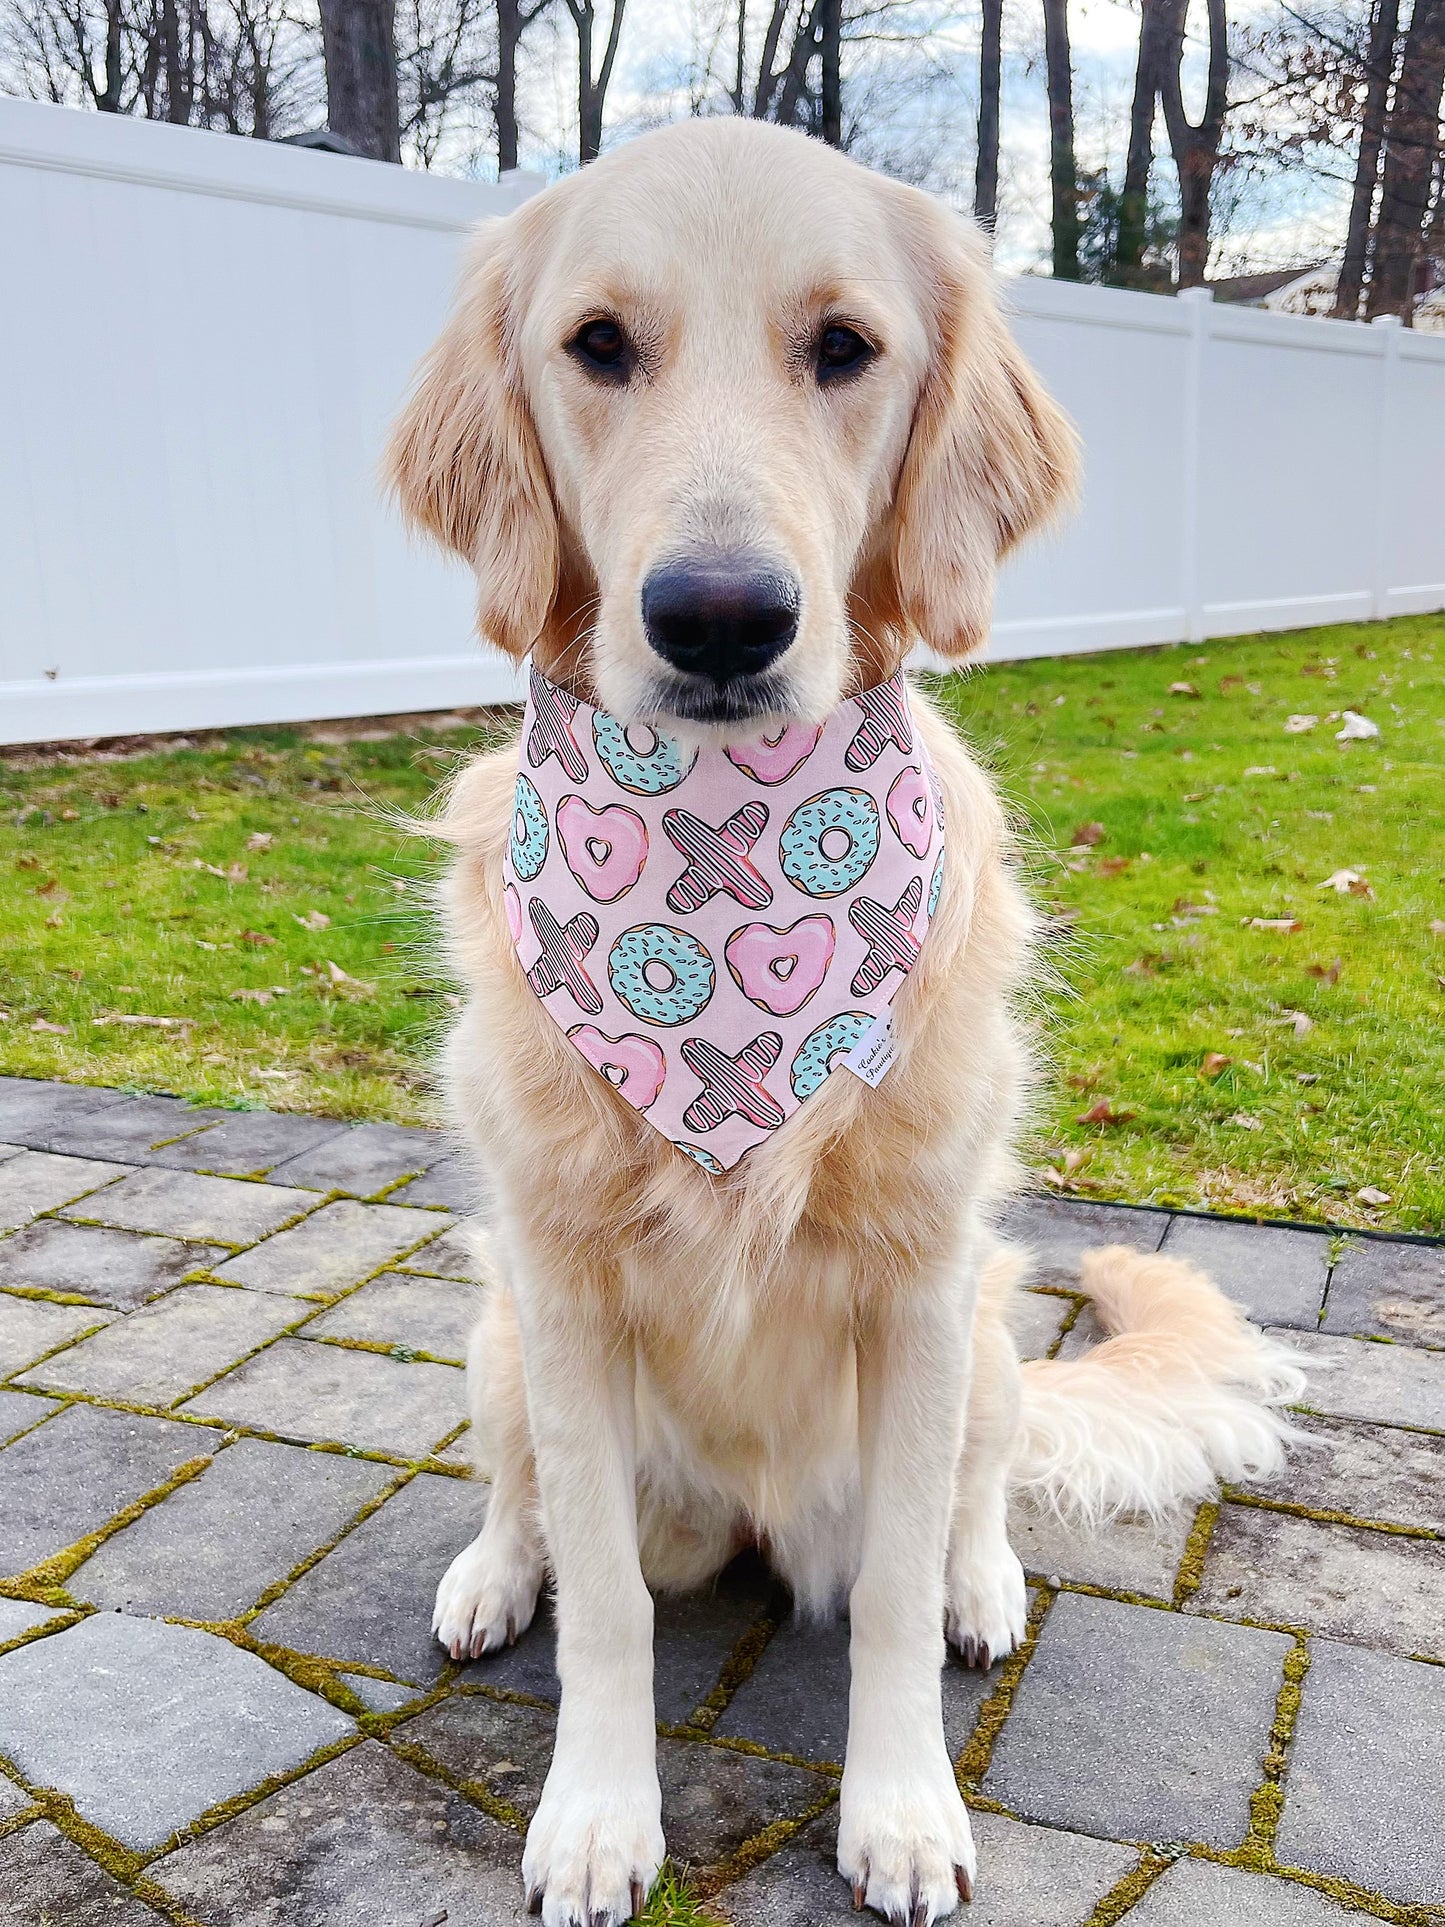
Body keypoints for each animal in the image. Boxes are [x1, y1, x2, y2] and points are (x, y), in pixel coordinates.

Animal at [391, 124, 1310, 1927]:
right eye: (597, 344)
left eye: (843, 347)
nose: (719, 617)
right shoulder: (565, 1290)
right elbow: (605, 1601)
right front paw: (595, 1814)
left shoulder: (919, 1291)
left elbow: (883, 1590)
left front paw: (898, 1809)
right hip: (500, 1332)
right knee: (524, 1501)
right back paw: (485, 1573)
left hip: (993, 1339)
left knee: (965, 1507)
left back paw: (981, 1585)